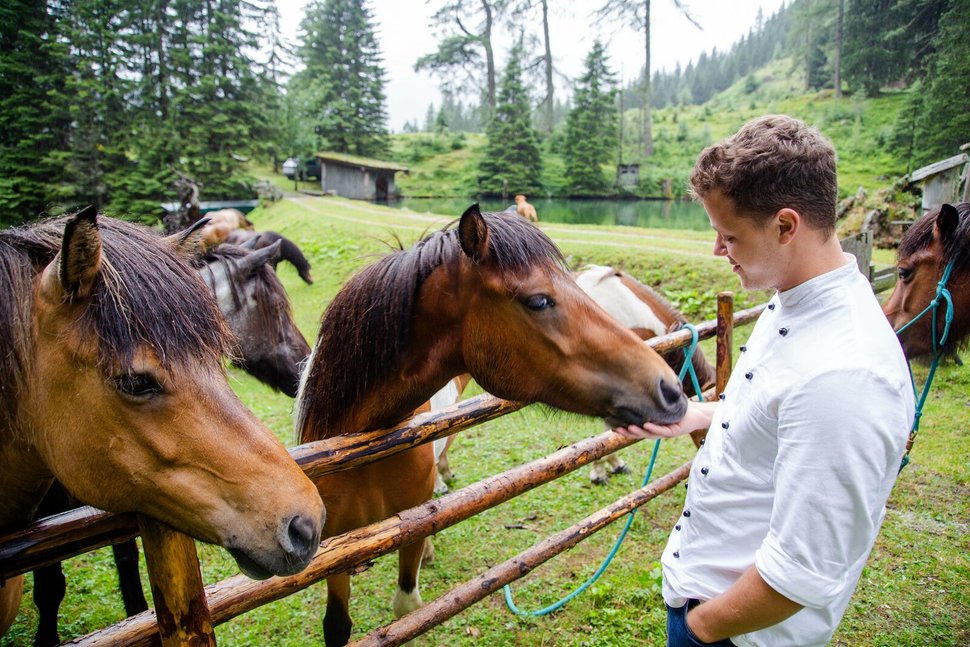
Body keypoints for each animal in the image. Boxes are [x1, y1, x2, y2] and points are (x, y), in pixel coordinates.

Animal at [294, 205, 680, 644]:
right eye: (539, 300)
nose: (669, 388)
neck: (362, 446)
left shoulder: (408, 531)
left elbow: (407, 611)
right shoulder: (333, 552)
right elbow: (337, 626)